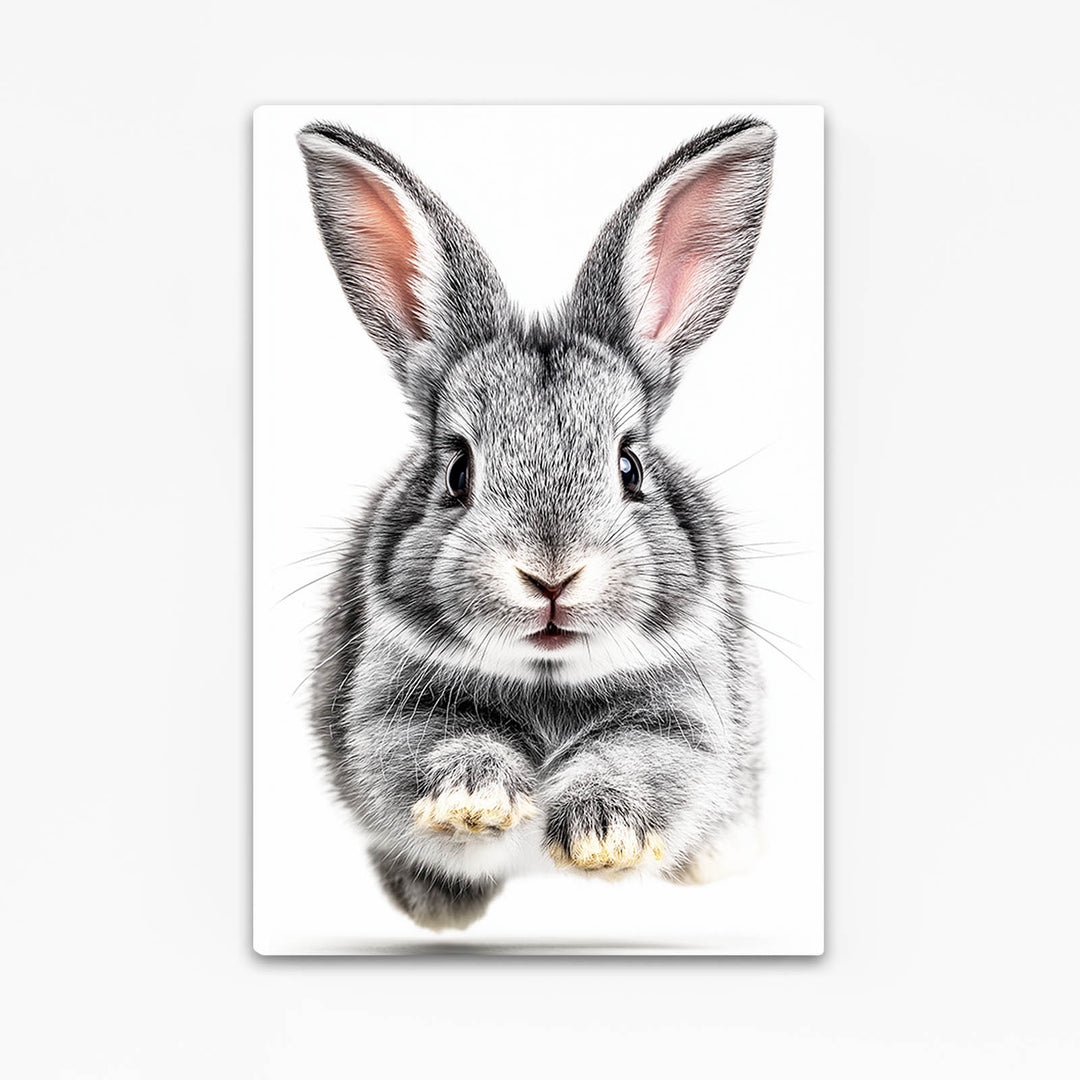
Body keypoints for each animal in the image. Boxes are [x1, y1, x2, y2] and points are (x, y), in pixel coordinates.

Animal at [297, 115, 775, 930]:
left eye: (630, 466)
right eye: (457, 472)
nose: (552, 575)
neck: (546, 678)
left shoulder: (686, 723)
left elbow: (639, 758)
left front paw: (602, 840)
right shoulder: (385, 719)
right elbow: (439, 747)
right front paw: (474, 802)